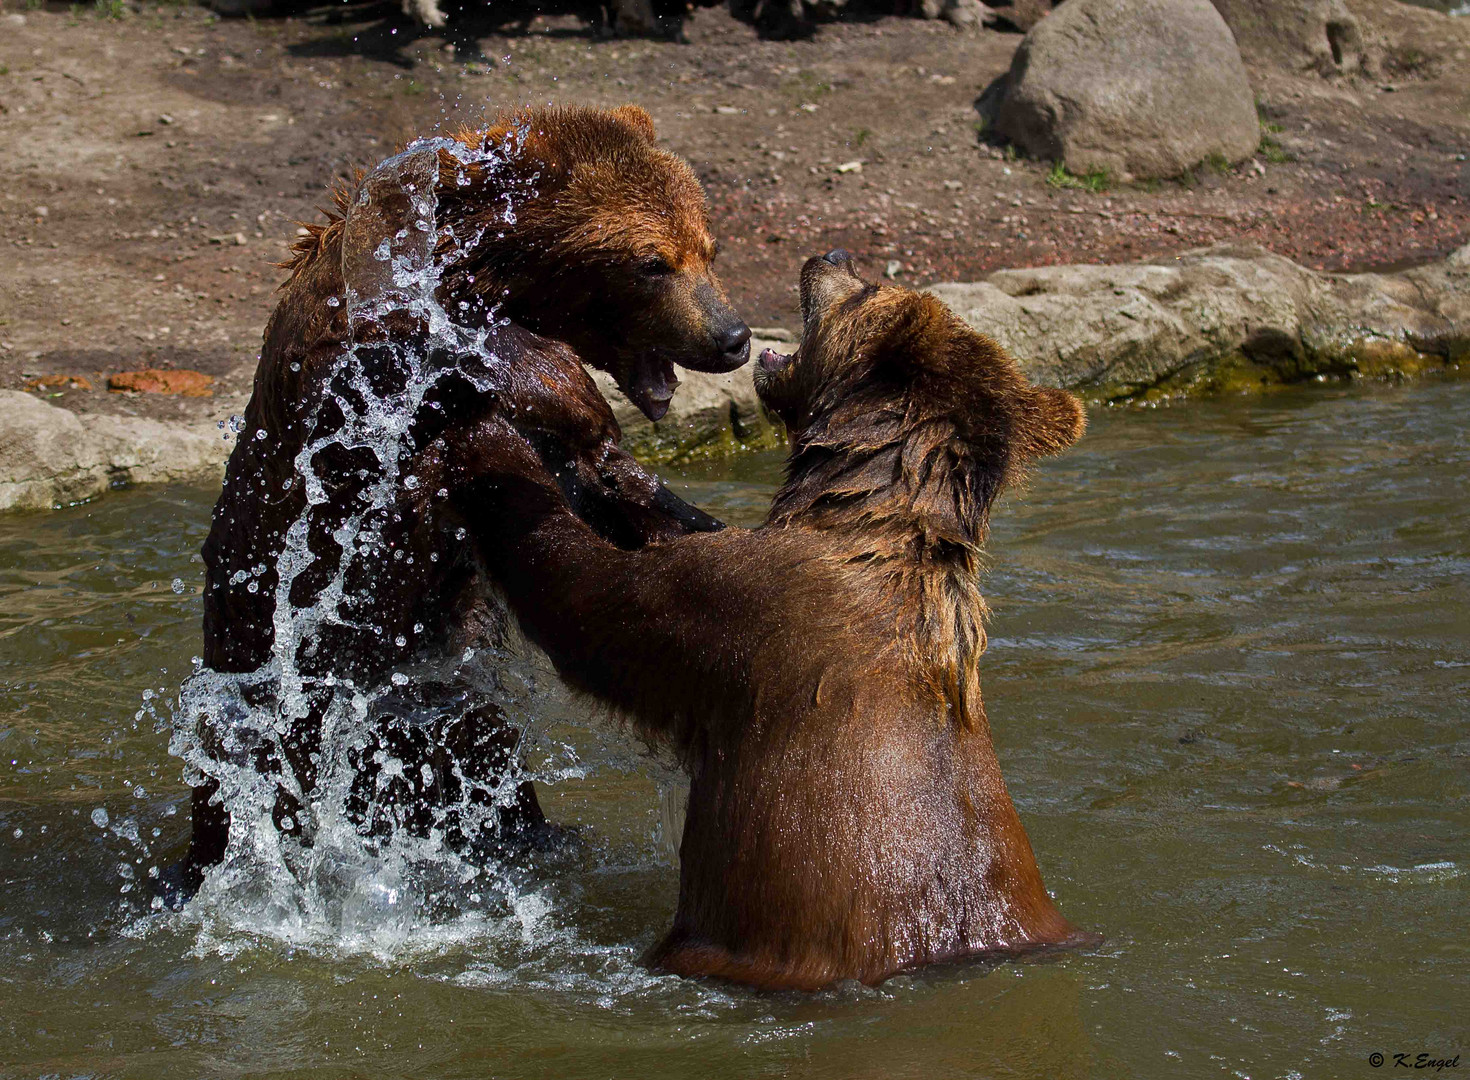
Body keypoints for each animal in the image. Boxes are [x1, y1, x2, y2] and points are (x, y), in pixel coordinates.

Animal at [168, 105, 752, 899]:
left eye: (707, 248)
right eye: (652, 262)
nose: (732, 337)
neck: (477, 264)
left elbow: (613, 492)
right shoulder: (352, 350)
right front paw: (569, 390)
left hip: (437, 702)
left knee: (480, 758)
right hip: (271, 663)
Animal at [435, 251, 1093, 987]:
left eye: (864, 286)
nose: (831, 255)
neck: (863, 504)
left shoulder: (742, 610)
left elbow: (594, 603)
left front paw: (492, 444)